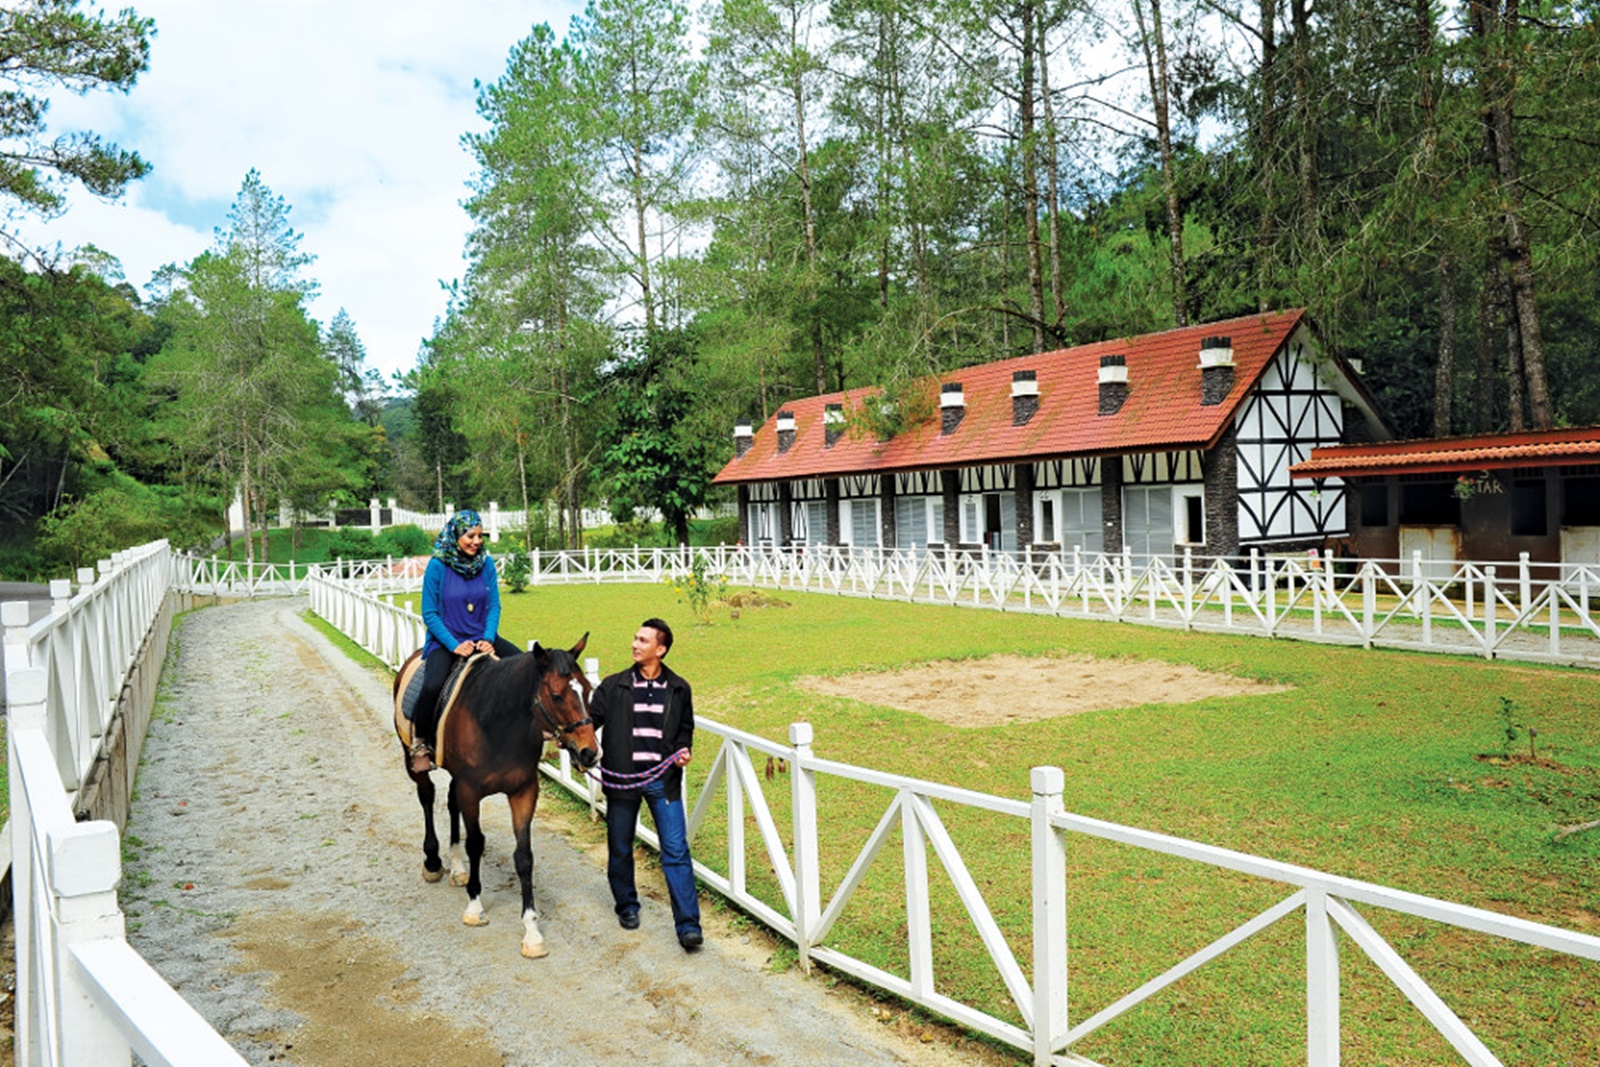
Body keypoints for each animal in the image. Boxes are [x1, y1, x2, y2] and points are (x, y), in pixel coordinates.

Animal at [393, 633, 601, 959]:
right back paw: (433, 861)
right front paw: (474, 907)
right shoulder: (470, 790)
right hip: (412, 760)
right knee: (427, 797)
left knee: (450, 803)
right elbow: (476, 843)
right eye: (556, 696)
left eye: (588, 690)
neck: (497, 723)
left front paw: (531, 931)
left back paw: (457, 867)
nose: (590, 753)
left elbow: (524, 857)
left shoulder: (524, 791)